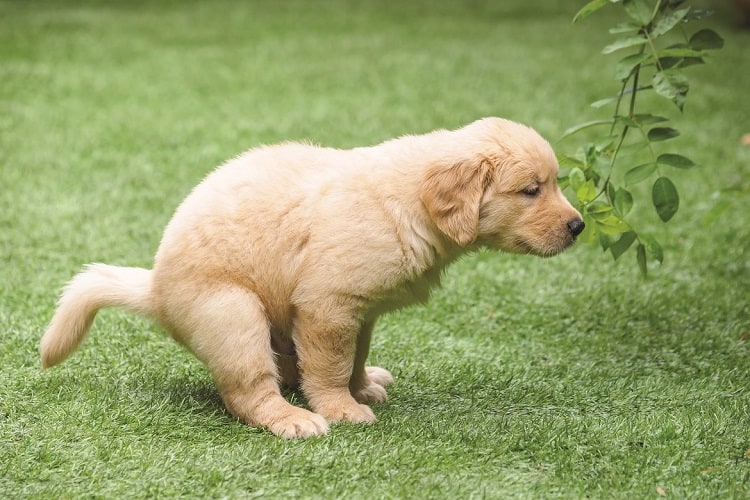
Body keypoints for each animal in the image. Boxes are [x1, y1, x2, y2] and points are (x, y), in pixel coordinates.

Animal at [38, 116, 584, 438]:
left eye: (554, 184)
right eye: (531, 190)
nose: (578, 226)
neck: (408, 202)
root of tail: (155, 288)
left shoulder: (359, 311)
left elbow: (353, 357)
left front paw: (361, 387)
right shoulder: (329, 304)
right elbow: (330, 366)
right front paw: (341, 408)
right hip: (234, 314)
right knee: (248, 392)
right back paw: (294, 419)